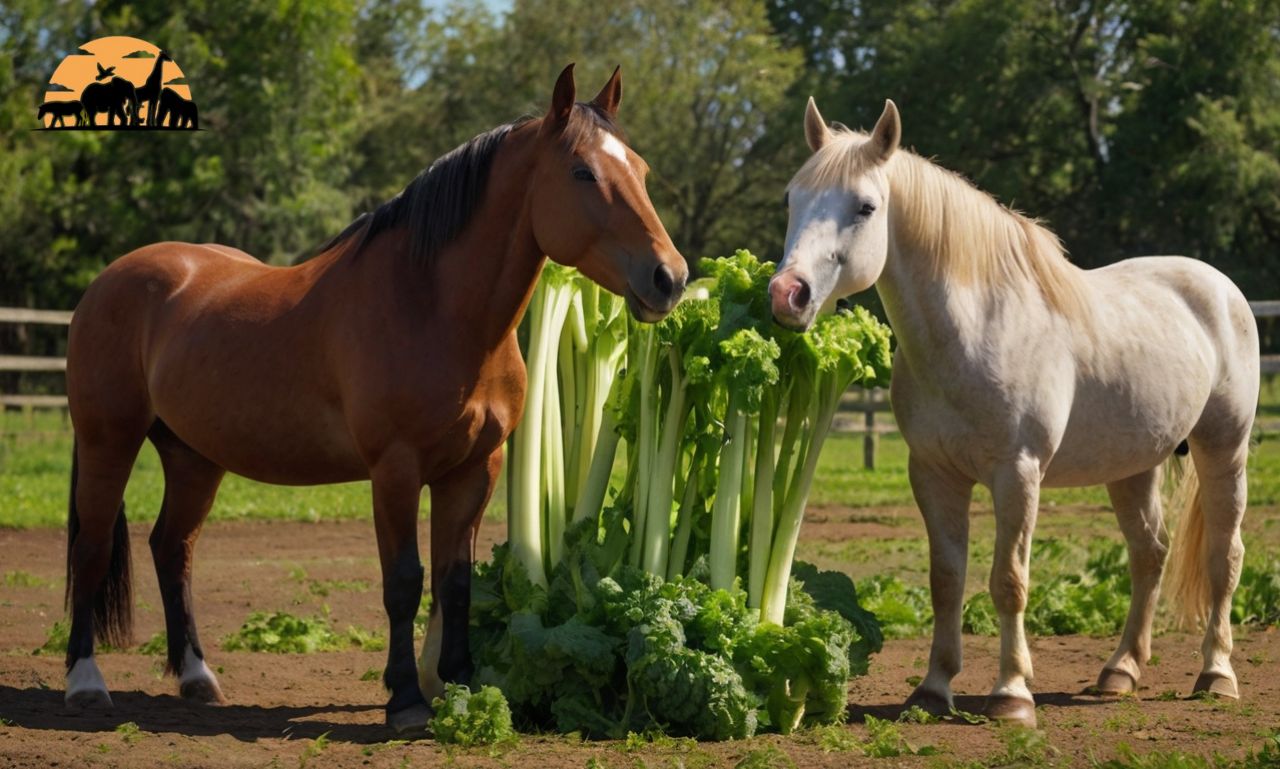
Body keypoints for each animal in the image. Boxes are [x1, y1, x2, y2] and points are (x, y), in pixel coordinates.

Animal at [63, 63, 686, 726]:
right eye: (582, 172)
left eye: (641, 169)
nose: (669, 278)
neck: (433, 307)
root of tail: (110, 280)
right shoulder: (395, 468)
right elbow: (405, 581)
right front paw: (407, 699)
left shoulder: (474, 468)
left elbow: (455, 582)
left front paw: (460, 686)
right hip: (109, 442)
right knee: (93, 548)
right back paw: (85, 682)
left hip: (194, 458)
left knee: (172, 548)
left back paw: (197, 677)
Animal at [768, 97, 1259, 726]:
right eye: (792, 198)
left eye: (866, 206)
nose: (788, 295)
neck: (975, 330)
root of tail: (1219, 287)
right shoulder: (933, 475)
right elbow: (946, 580)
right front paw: (932, 690)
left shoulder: (1018, 474)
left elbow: (1009, 581)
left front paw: (1011, 694)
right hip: (1133, 467)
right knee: (1149, 555)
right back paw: (1119, 672)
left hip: (1224, 448)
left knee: (1224, 554)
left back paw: (1216, 675)